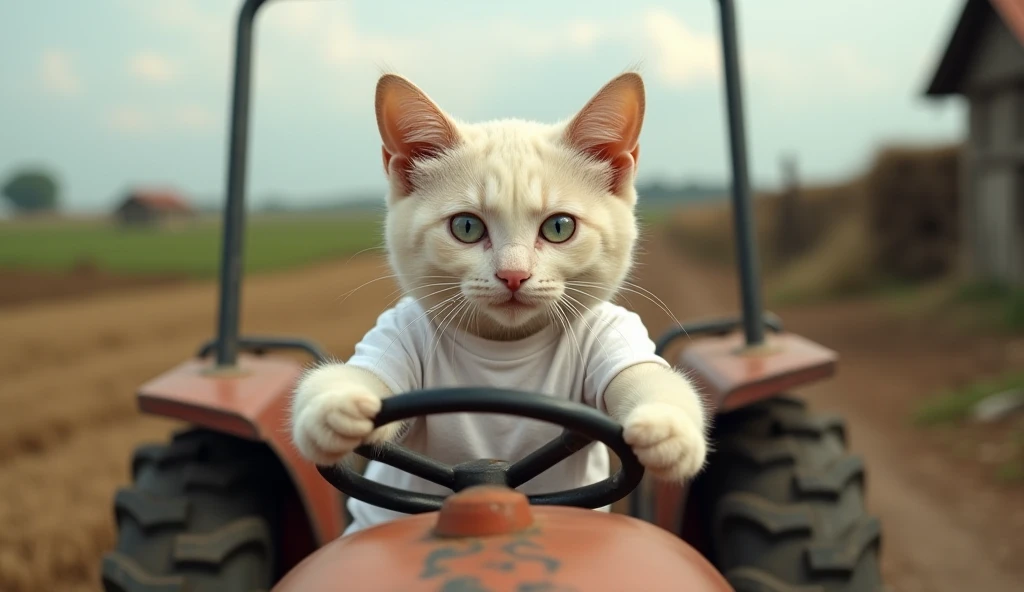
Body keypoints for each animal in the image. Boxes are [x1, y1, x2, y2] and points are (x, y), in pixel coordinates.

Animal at [288, 71, 704, 532]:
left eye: (560, 227)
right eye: (466, 227)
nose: (513, 275)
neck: (504, 347)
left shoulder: (615, 332)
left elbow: (647, 379)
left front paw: (668, 428)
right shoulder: (395, 331)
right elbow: (361, 380)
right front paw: (332, 409)